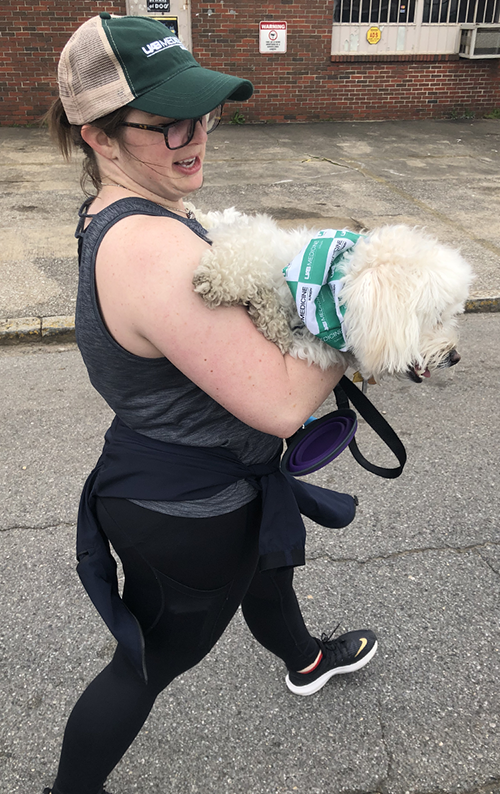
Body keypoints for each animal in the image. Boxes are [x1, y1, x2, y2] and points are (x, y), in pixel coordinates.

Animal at [190, 206, 472, 382]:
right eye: (437, 317)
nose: (455, 356)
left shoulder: (322, 348)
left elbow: (299, 345)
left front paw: (270, 318)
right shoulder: (259, 242)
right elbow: (242, 256)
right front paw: (215, 280)